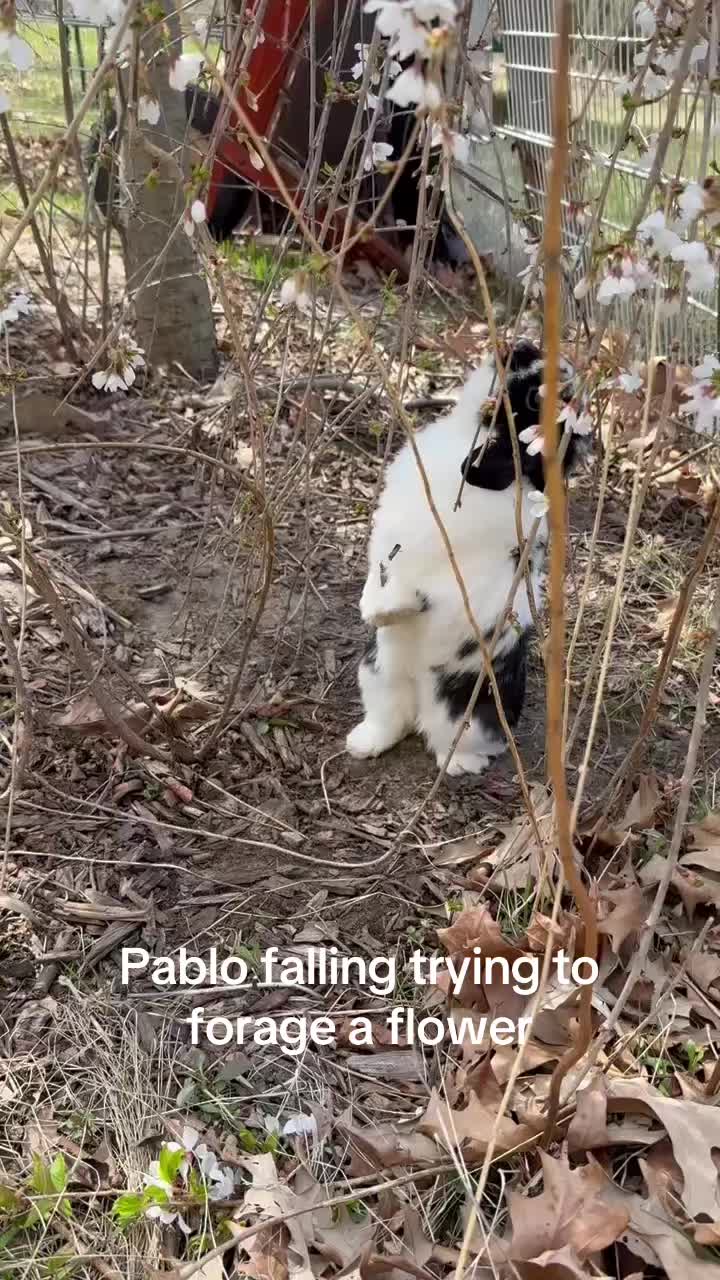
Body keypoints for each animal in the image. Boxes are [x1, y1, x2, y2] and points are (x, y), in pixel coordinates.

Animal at [345, 339, 581, 776]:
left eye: (531, 397)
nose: (520, 345)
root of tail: (419, 688)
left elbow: (418, 594)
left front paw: (394, 609)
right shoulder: (390, 551)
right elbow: (381, 575)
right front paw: (374, 610)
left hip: (465, 713)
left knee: (457, 740)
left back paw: (459, 765)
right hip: (376, 672)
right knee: (391, 718)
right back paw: (363, 744)